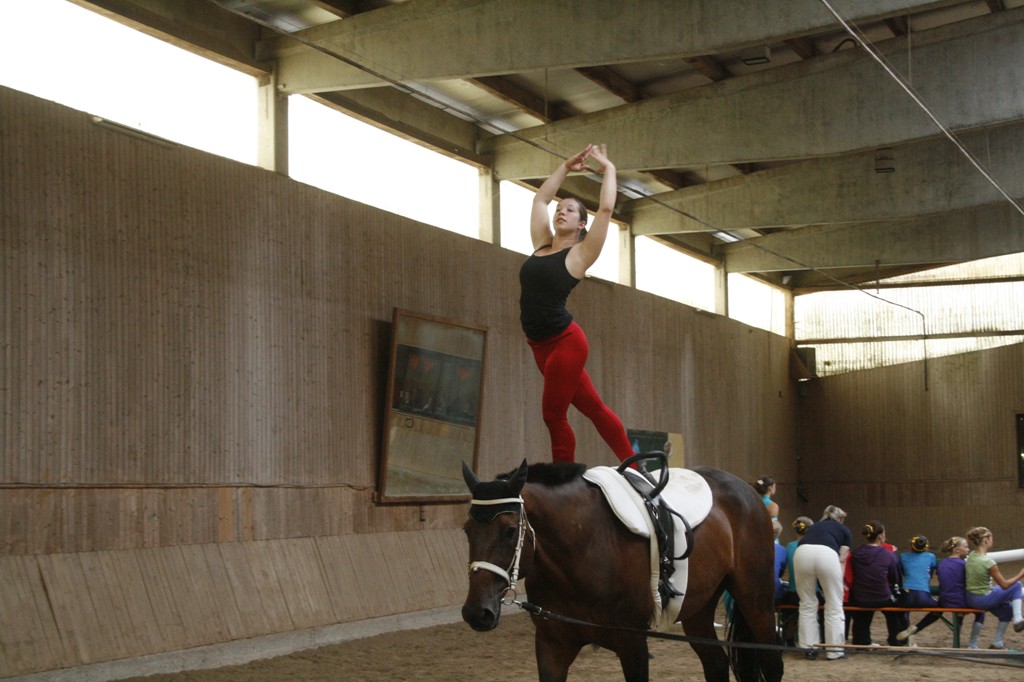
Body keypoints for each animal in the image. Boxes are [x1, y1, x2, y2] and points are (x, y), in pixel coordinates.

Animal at [461, 459, 784, 682]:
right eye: (467, 530)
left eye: (509, 531)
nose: (477, 612)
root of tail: (747, 490)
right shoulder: (552, 646)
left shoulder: (632, 644)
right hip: (698, 609)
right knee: (715, 664)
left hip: (755, 600)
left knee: (772, 662)